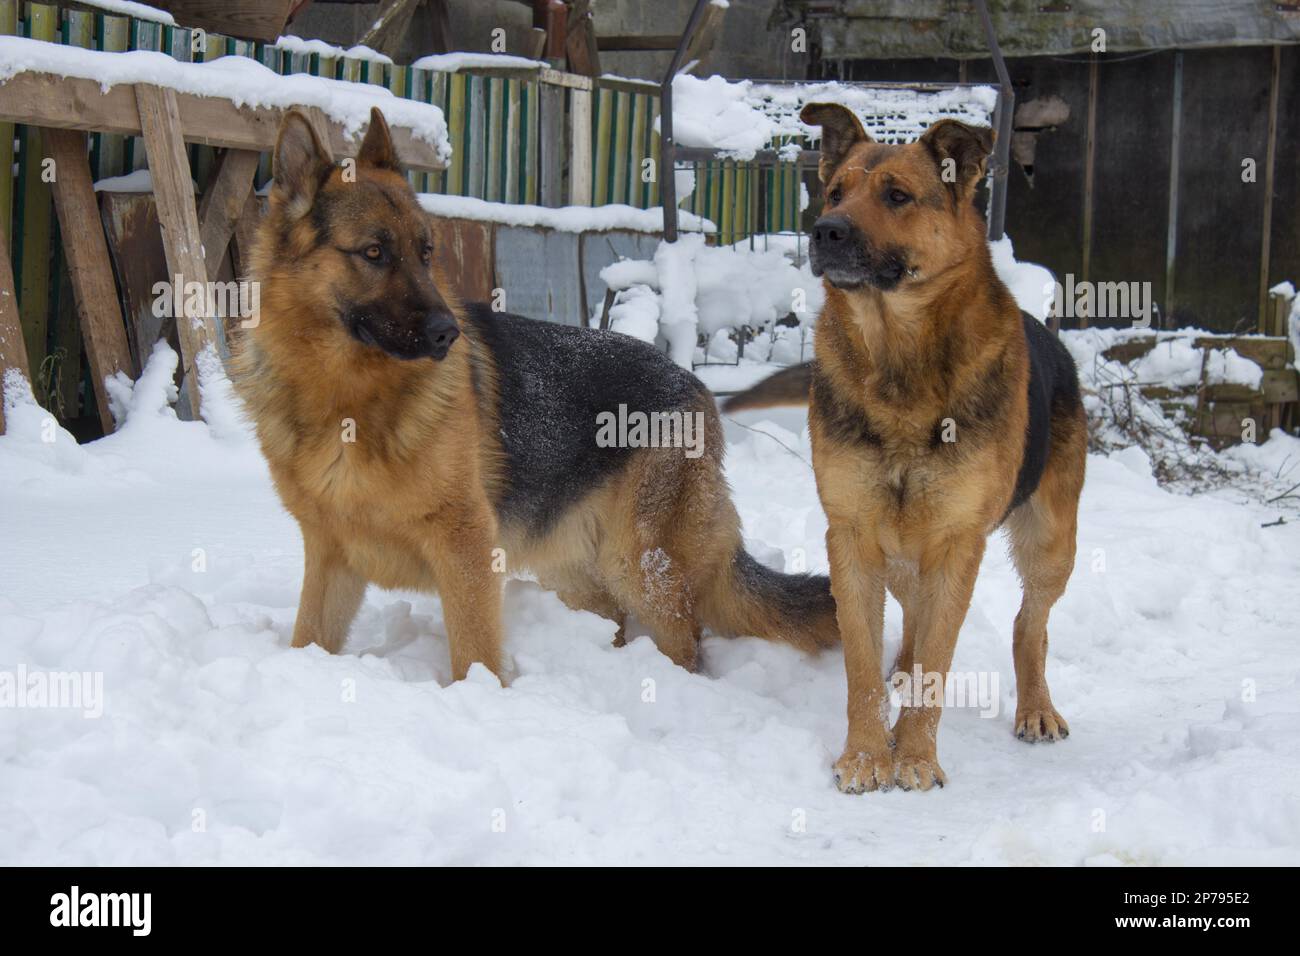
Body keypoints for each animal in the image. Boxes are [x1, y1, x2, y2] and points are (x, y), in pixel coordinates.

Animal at [233, 110, 837, 681]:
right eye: (375, 253)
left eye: (426, 253)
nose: (448, 334)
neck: (347, 398)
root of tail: (696, 385)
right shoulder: (330, 558)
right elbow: (308, 638)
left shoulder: (466, 549)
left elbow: (473, 657)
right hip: (577, 570)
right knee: (615, 621)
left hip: (639, 564)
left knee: (686, 642)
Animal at [728, 104, 1081, 790]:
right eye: (836, 193)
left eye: (897, 196)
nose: (826, 231)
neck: (898, 360)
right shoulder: (853, 537)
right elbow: (862, 666)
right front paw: (868, 754)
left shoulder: (956, 544)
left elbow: (938, 663)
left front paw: (914, 756)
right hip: (898, 551)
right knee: (915, 623)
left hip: (1051, 542)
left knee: (1030, 623)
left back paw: (1036, 707)